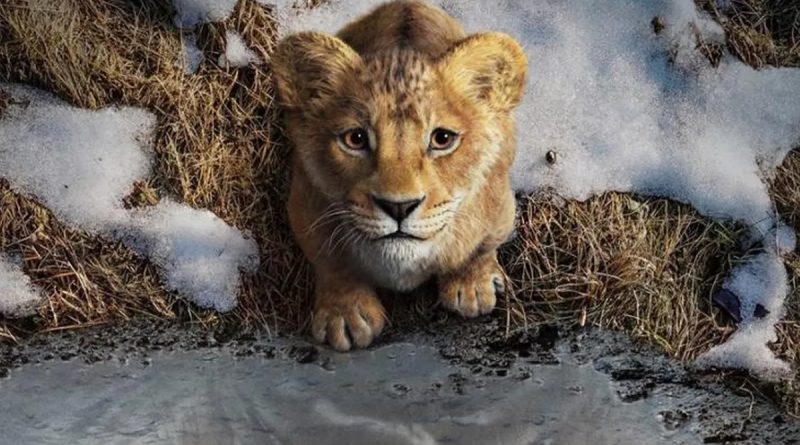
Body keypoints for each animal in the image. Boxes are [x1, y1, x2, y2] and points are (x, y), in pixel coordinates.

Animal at [273, 0, 528, 351]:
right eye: (355, 139)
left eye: (442, 139)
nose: (398, 207)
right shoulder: (305, 205)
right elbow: (331, 262)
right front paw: (346, 315)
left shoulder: (500, 206)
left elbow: (481, 247)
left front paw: (472, 286)